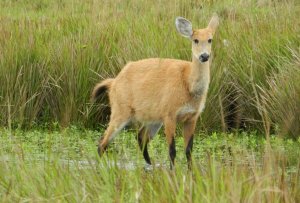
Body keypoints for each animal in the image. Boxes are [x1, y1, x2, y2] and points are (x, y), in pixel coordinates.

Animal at [92, 14, 219, 169]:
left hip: (152, 119)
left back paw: (150, 165)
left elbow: (188, 150)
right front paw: (173, 172)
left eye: (210, 39)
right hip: (120, 113)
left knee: (140, 137)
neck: (188, 84)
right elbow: (172, 150)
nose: (204, 56)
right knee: (102, 142)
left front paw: (191, 171)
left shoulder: (192, 117)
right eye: (195, 40)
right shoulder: (170, 115)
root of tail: (113, 82)